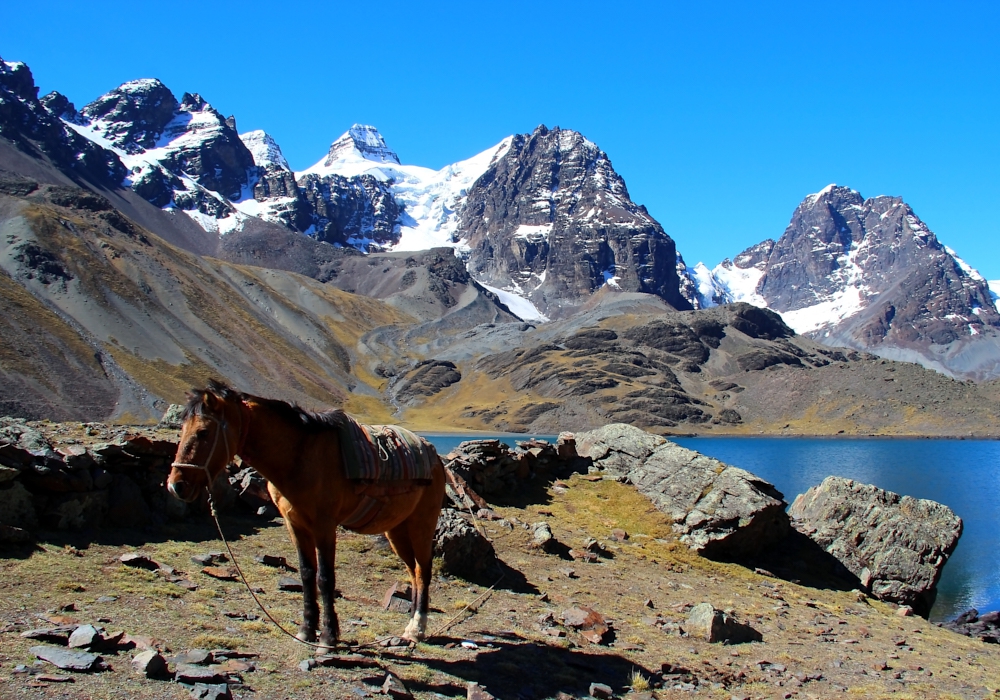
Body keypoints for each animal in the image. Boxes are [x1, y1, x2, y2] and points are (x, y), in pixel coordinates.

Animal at [167, 380, 446, 648]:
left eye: (203, 432)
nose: (175, 486)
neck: (298, 456)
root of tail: (433, 454)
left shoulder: (324, 526)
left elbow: (325, 578)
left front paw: (328, 637)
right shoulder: (296, 525)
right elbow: (306, 573)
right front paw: (306, 630)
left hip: (421, 525)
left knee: (422, 570)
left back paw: (417, 629)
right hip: (397, 530)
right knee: (412, 571)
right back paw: (410, 626)